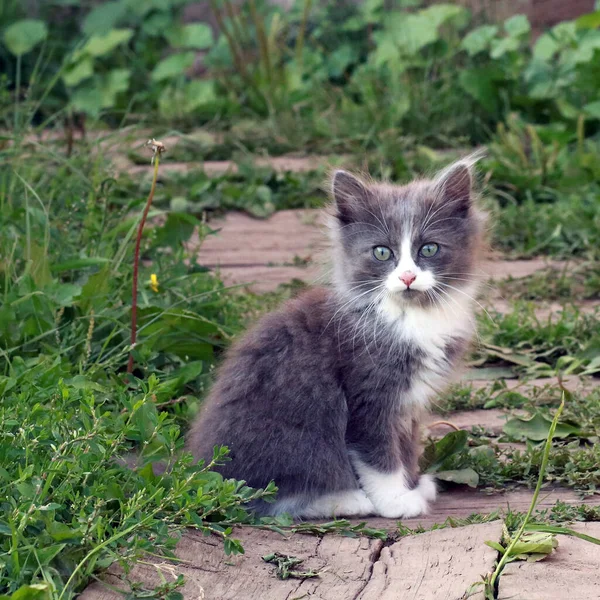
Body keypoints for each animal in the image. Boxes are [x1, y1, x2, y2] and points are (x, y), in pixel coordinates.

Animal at [188, 157, 488, 516]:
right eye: (382, 253)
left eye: (429, 248)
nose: (407, 276)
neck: (410, 317)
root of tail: (199, 467)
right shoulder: (368, 395)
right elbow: (379, 456)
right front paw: (396, 500)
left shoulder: (410, 402)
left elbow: (407, 447)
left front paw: (415, 484)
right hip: (297, 438)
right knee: (271, 495)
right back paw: (348, 500)